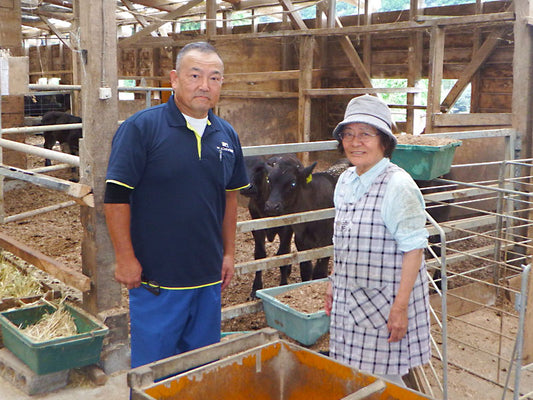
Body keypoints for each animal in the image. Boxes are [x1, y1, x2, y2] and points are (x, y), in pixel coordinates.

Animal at [240, 155, 294, 296]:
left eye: (259, 169)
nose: (247, 187)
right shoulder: (257, 226)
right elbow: (259, 255)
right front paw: (256, 288)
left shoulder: (286, 228)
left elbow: (282, 254)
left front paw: (283, 284)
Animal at [262, 153, 332, 282]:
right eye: (269, 180)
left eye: (293, 183)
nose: (272, 206)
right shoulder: (301, 242)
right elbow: (306, 270)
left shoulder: (327, 243)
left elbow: (319, 273)